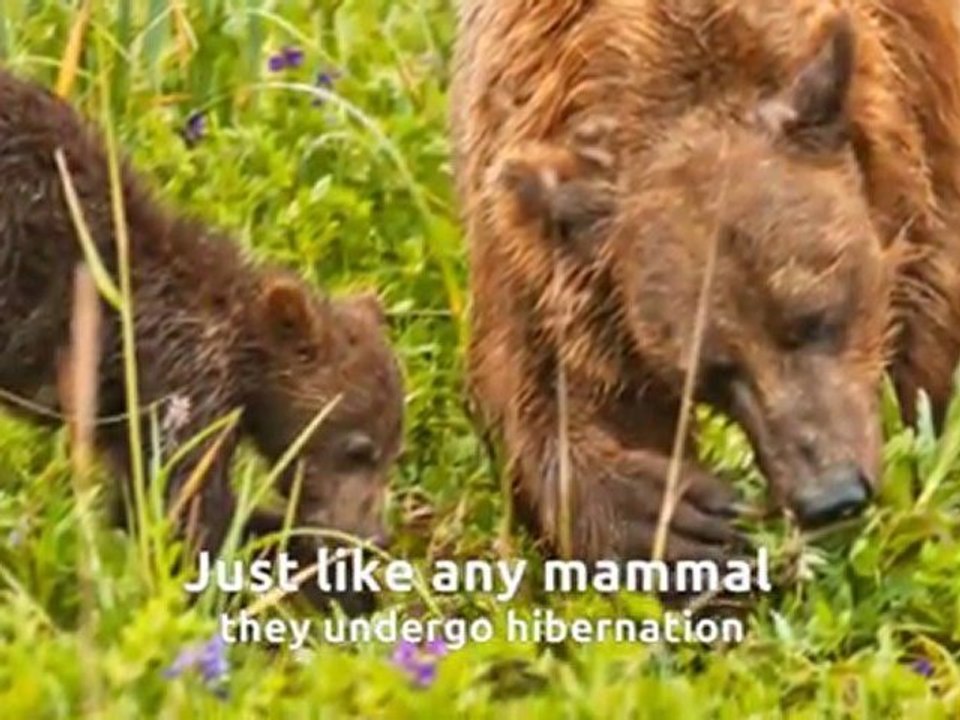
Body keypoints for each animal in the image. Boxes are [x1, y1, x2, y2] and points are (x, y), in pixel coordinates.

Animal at [0, 68, 405, 611]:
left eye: (395, 448)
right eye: (358, 449)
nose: (374, 534)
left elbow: (143, 501)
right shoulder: (177, 378)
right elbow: (186, 507)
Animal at [450, 1, 960, 564]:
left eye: (817, 317)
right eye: (712, 369)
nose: (831, 495)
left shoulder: (922, 97)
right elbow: (540, 370)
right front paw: (674, 519)